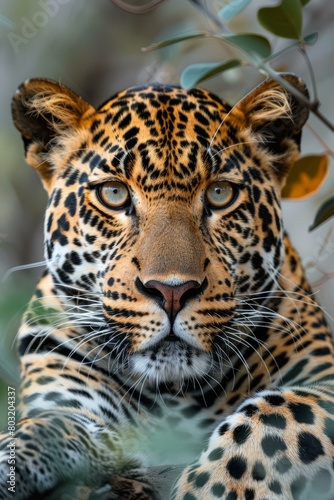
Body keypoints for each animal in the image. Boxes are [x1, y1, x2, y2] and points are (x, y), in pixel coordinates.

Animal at [0, 75, 334, 500]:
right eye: (114, 194)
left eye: (220, 194)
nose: (172, 291)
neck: (178, 390)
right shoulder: (67, 388)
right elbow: (45, 424)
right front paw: (10, 458)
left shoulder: (322, 380)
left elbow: (276, 416)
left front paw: (212, 488)